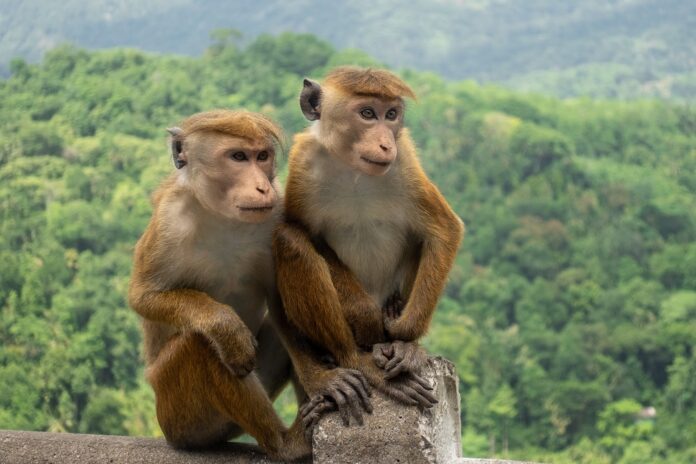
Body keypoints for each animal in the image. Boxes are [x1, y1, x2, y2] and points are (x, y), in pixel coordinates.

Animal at [128, 109, 332, 461]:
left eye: (261, 157)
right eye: (238, 157)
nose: (262, 187)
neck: (223, 216)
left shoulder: (275, 213)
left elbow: (282, 301)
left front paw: (323, 379)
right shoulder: (169, 221)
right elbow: (143, 295)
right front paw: (224, 327)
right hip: (175, 412)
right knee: (199, 344)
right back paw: (284, 443)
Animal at [273, 67, 465, 428]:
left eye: (391, 115)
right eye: (366, 113)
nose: (385, 142)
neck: (353, 170)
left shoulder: (405, 162)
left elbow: (444, 230)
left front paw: (403, 333)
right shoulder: (303, 164)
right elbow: (308, 235)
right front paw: (366, 316)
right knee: (288, 239)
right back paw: (355, 359)